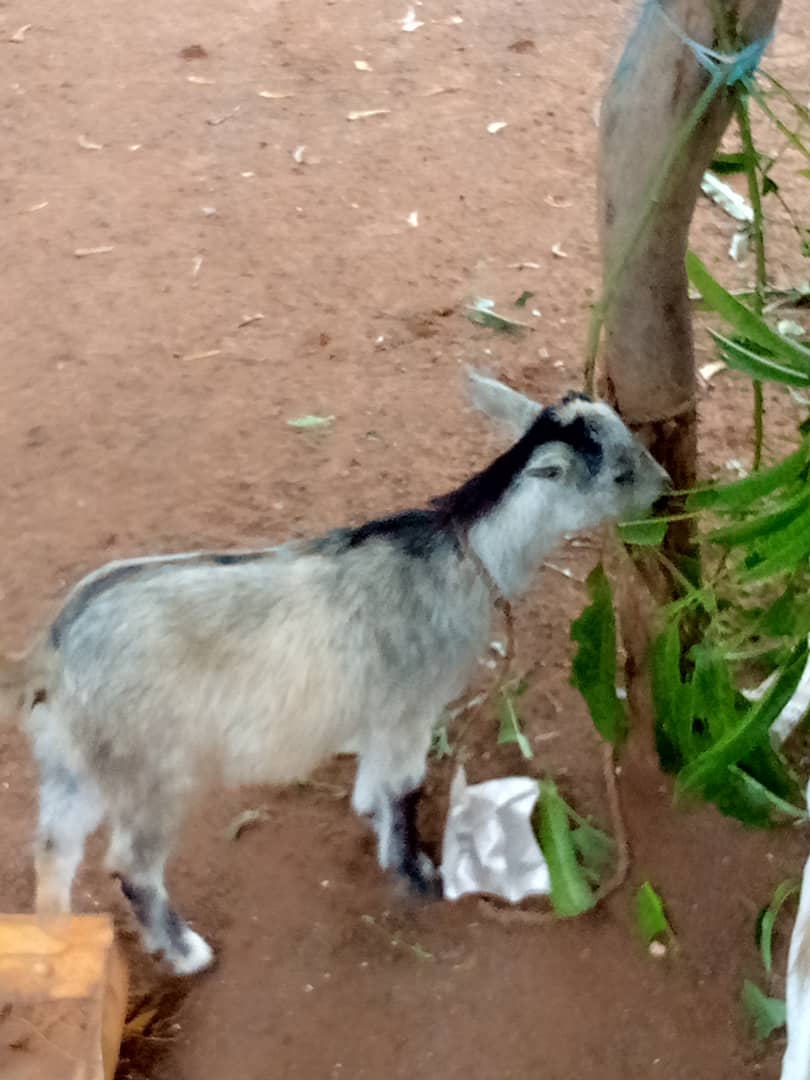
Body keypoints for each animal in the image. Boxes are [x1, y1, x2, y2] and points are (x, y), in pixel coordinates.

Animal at [0, 372, 669, 974]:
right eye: (619, 473)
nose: (666, 491)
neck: (463, 552)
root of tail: (51, 654)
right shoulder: (410, 706)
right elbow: (405, 785)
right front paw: (416, 872)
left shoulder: (380, 711)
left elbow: (375, 781)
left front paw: (373, 820)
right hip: (150, 771)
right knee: (130, 864)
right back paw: (187, 952)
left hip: (73, 764)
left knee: (53, 850)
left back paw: (58, 946)